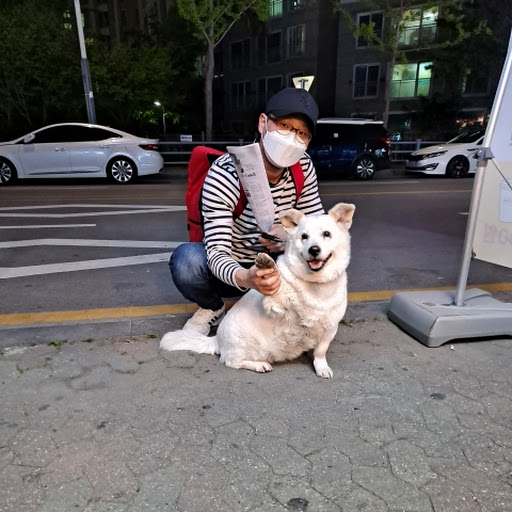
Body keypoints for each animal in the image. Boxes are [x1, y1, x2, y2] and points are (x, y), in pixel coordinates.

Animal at [160, 202, 355, 378]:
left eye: (327, 234)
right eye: (304, 236)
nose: (314, 250)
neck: (313, 284)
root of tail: (217, 340)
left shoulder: (330, 329)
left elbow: (320, 351)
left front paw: (321, 367)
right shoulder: (272, 303)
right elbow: (277, 289)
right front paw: (267, 266)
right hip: (243, 348)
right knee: (232, 362)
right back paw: (259, 364)